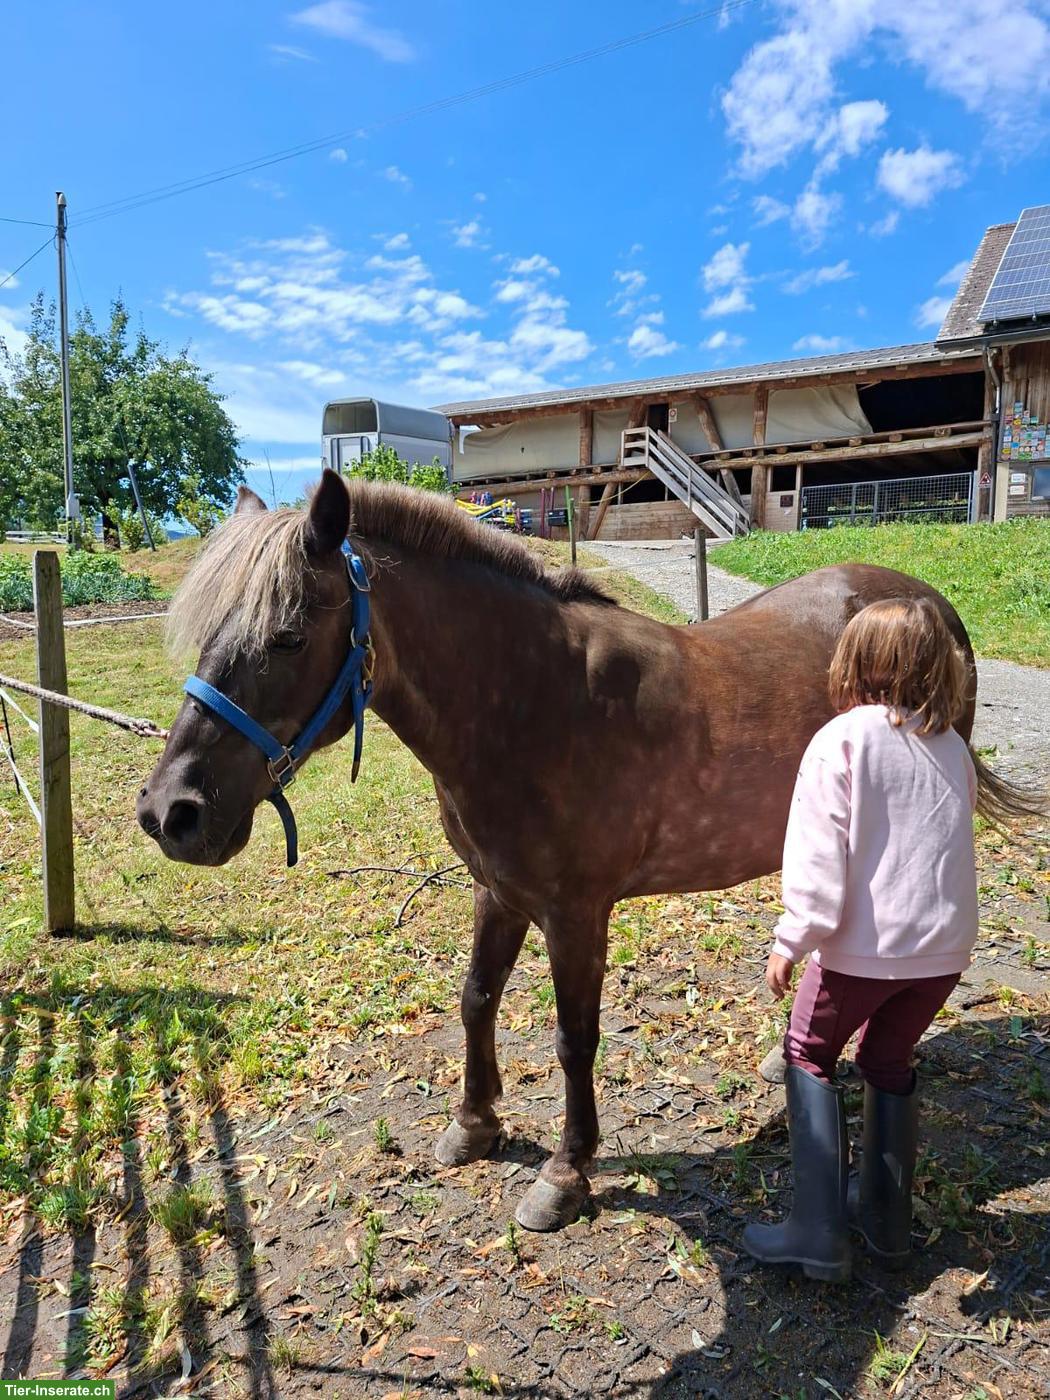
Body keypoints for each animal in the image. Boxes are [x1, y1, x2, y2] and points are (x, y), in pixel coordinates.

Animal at [137, 469, 1037, 1233]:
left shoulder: (575, 916)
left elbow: (574, 1039)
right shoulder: (496, 893)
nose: (170, 812)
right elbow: (477, 1000)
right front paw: (475, 1126)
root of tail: (926, 603)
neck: (534, 698)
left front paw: (565, 1175)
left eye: (288, 636)